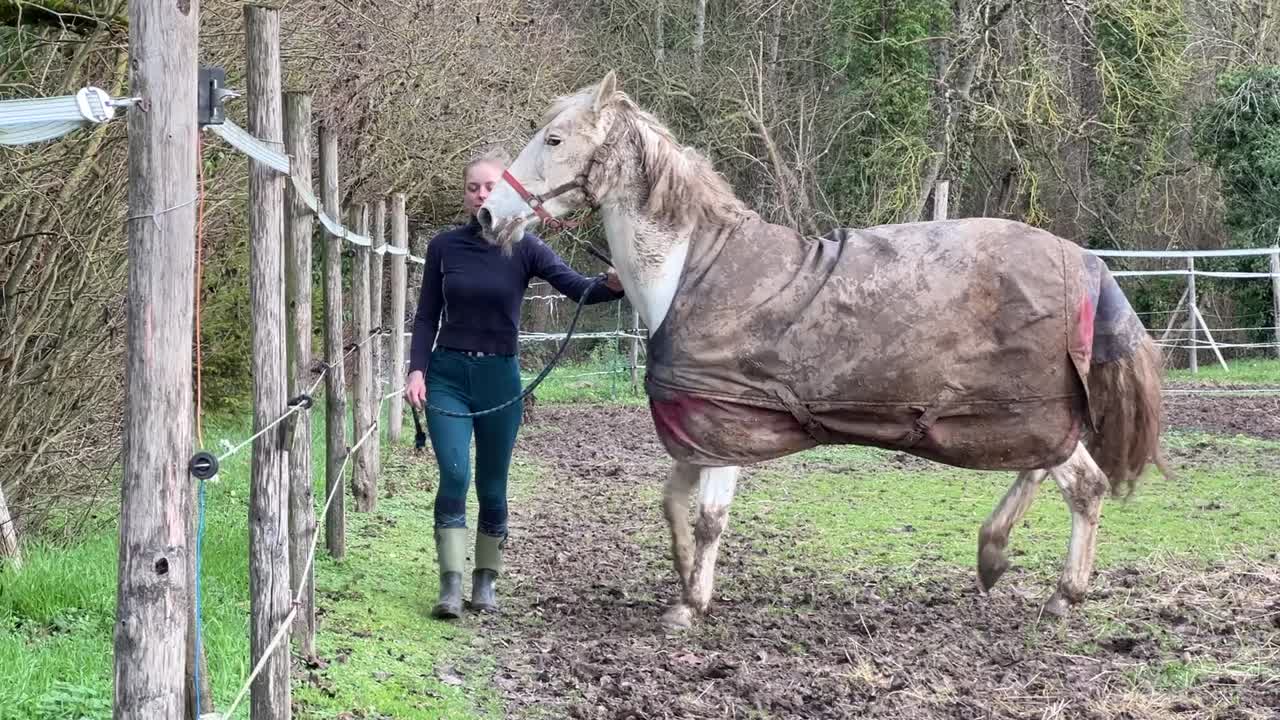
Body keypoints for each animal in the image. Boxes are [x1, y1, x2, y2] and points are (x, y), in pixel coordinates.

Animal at [476, 71, 1171, 631]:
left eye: (555, 140)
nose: (489, 216)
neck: (690, 270)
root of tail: (1085, 261)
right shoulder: (697, 431)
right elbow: (673, 505)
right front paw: (685, 581)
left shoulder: (727, 429)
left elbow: (708, 518)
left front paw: (689, 605)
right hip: (1025, 416)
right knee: (1047, 470)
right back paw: (994, 557)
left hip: (1022, 411)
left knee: (1084, 485)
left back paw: (1060, 595)